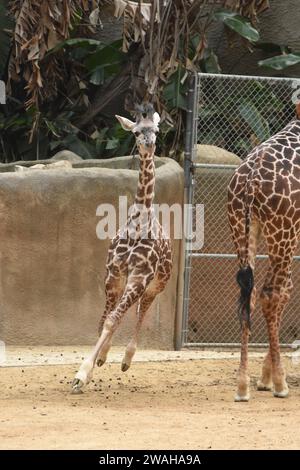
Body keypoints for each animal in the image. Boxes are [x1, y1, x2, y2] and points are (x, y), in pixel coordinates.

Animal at [71, 104, 172, 394]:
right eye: (137, 131)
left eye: (156, 130)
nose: (149, 144)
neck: (138, 224)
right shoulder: (113, 274)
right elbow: (104, 320)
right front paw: (93, 366)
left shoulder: (140, 277)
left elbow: (113, 319)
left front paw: (81, 375)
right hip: (130, 282)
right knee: (126, 312)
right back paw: (106, 357)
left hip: (157, 284)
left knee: (142, 311)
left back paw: (127, 359)